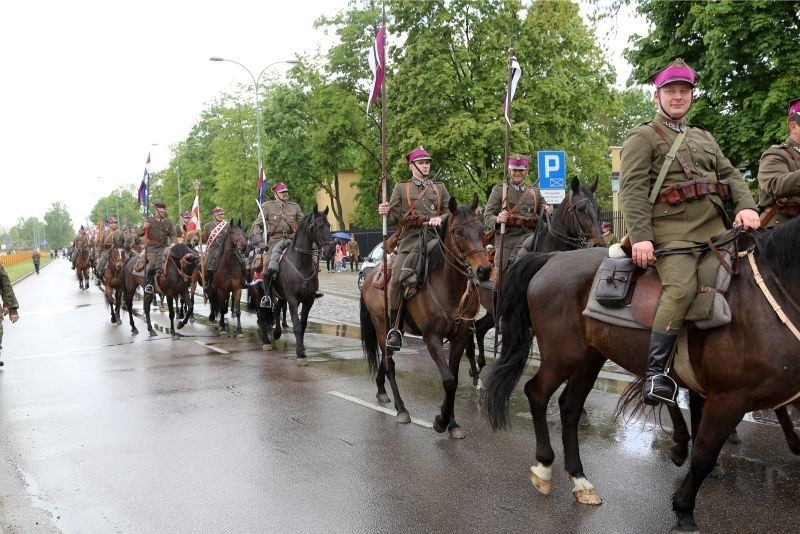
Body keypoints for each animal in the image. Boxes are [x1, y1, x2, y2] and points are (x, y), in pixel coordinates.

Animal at [253, 205, 334, 364]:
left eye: (328, 225)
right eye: (318, 225)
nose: (331, 250)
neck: (301, 263)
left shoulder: (309, 300)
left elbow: (302, 325)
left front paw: (302, 348)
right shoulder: (293, 299)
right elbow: (296, 325)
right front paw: (300, 354)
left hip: (279, 295)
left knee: (276, 309)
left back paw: (276, 332)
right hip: (260, 293)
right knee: (261, 314)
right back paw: (266, 341)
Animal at [360, 197, 494, 440]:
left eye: (481, 230)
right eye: (459, 231)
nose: (484, 270)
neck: (449, 288)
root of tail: (370, 275)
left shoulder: (460, 338)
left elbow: (454, 379)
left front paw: (452, 422)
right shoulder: (432, 338)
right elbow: (448, 381)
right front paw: (441, 421)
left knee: (386, 361)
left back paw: (381, 390)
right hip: (382, 327)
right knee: (389, 363)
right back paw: (401, 409)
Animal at [466, 178, 604, 384]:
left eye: (599, 208)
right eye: (580, 209)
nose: (599, 244)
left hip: (492, 312)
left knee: (480, 328)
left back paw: (479, 366)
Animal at [484, 217, 800, 532]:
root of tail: (552, 258)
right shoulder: (729, 398)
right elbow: (703, 456)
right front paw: (684, 511)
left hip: (590, 357)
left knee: (570, 408)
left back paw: (580, 480)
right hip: (562, 355)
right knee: (536, 393)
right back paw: (544, 467)